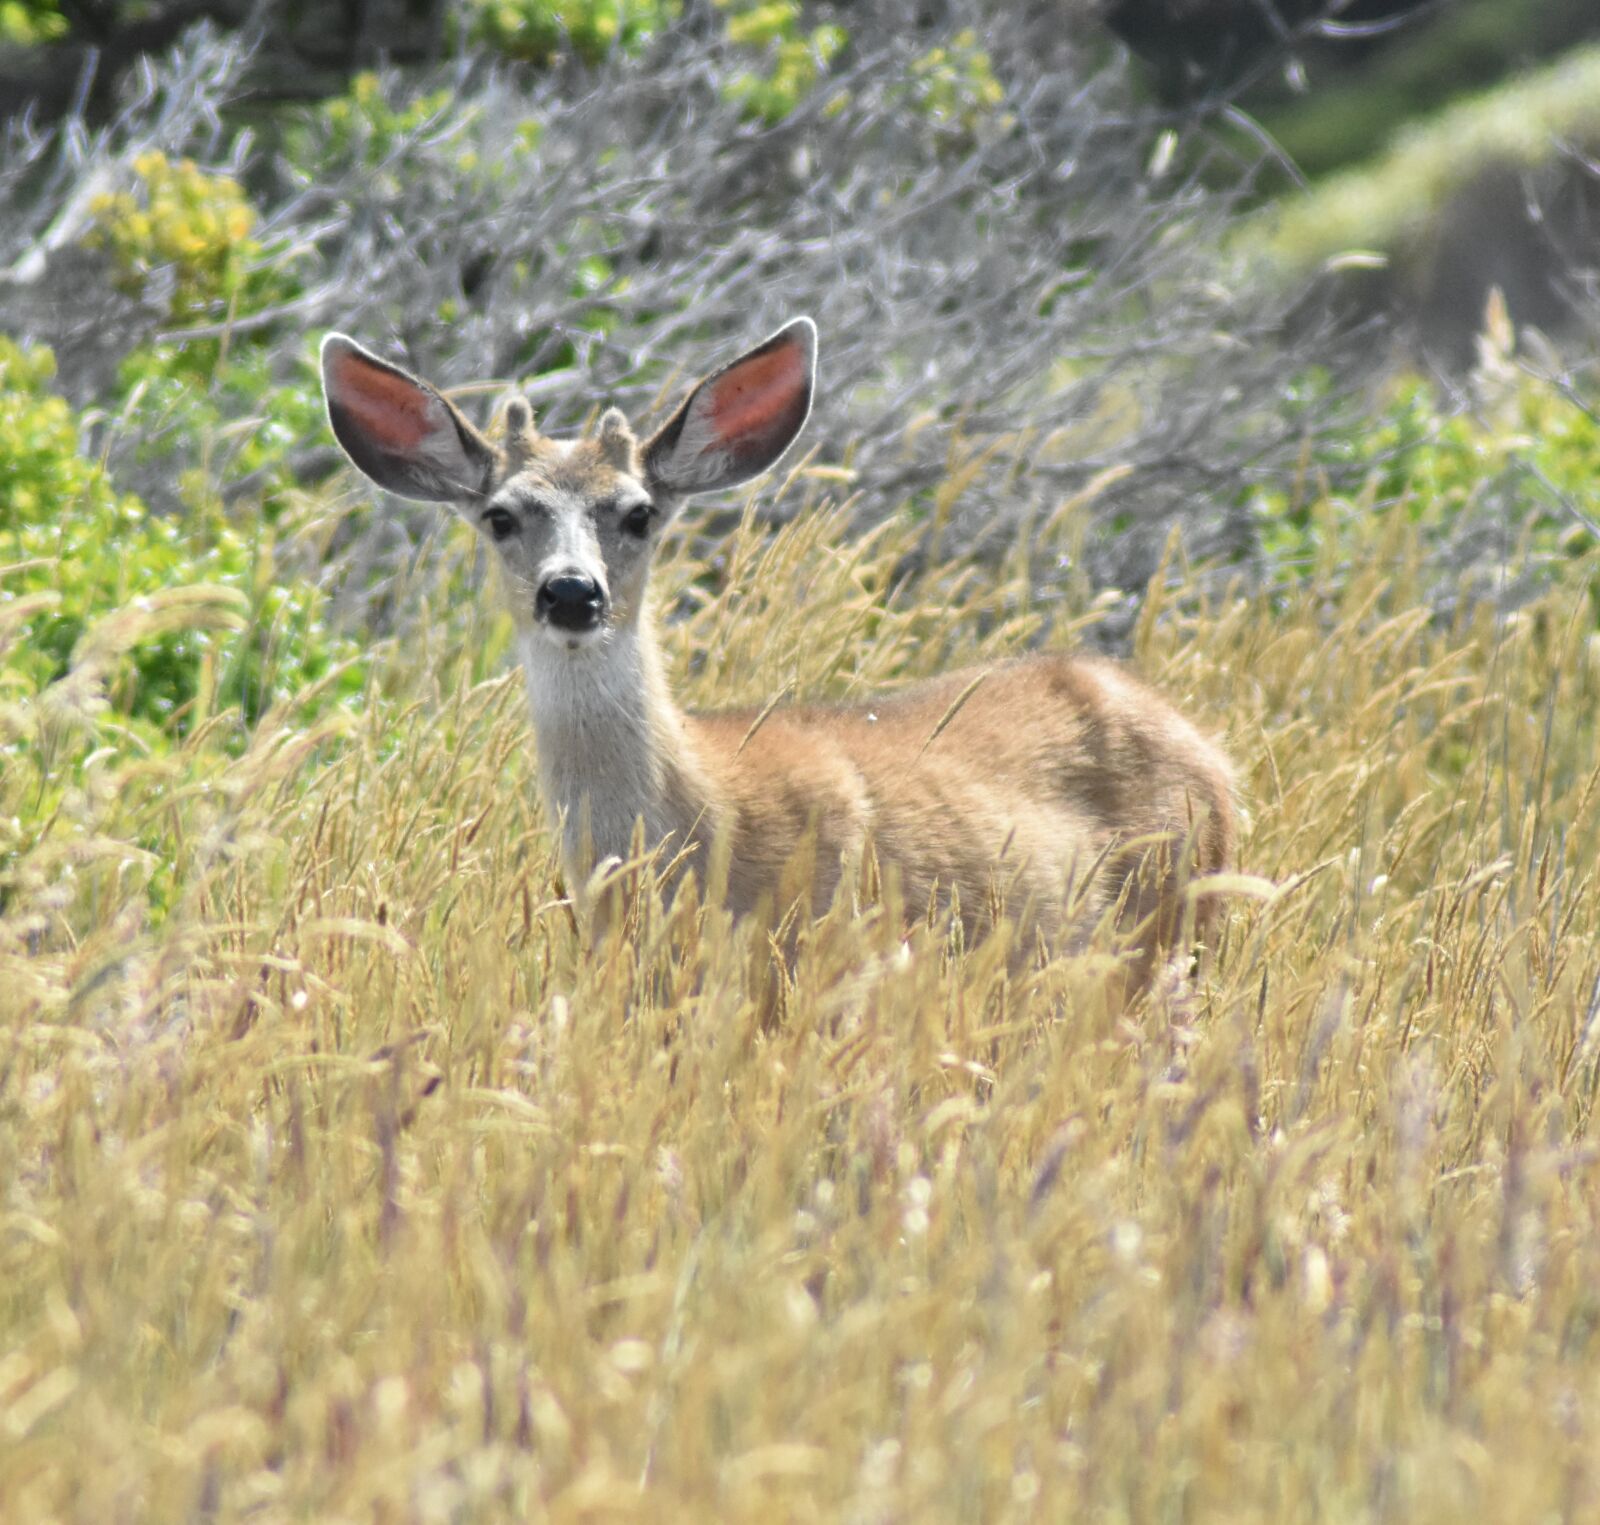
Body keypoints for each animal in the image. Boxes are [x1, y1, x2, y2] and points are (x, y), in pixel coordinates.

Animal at [319, 318, 1236, 996]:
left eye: (639, 512)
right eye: (502, 515)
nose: (573, 592)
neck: (701, 822)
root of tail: (1216, 754)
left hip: (1173, 930)